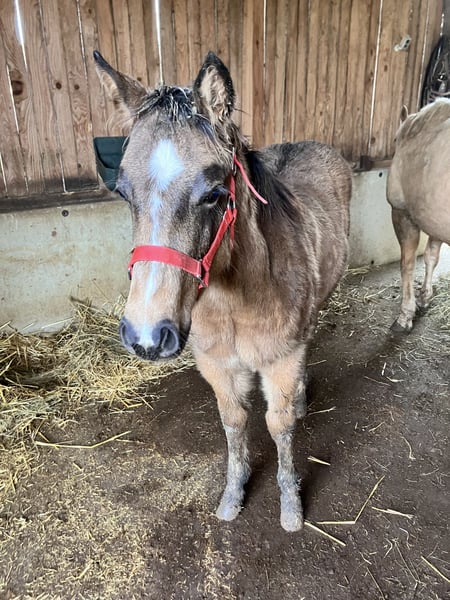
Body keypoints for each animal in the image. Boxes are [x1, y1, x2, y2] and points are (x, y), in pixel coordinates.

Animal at [94, 50, 351, 531]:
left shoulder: (280, 361)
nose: (146, 337)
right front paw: (234, 494)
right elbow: (234, 423)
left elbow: (279, 425)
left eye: (215, 193)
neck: (235, 302)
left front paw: (291, 506)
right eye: (122, 192)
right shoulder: (215, 365)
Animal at [387, 99, 450, 332]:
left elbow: (407, 265)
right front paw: (424, 298)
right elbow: (431, 257)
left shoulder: (402, 213)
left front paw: (405, 315)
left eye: (395, 140)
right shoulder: (434, 219)